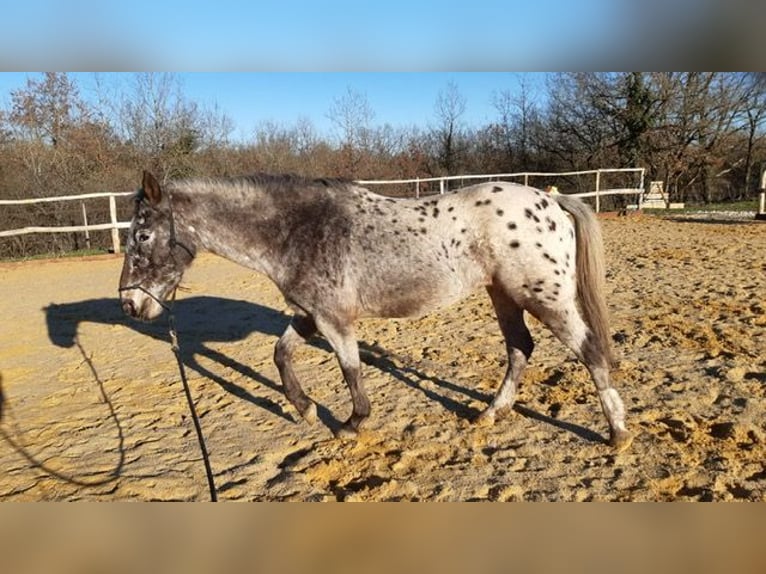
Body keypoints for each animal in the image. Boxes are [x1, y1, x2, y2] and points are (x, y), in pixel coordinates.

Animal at [120, 172, 632, 454]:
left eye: (141, 236)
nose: (130, 303)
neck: (298, 230)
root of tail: (551, 202)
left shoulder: (334, 320)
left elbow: (351, 370)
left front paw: (351, 423)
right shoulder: (309, 314)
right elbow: (280, 355)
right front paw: (305, 409)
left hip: (545, 297)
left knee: (589, 351)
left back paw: (618, 432)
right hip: (504, 296)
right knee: (520, 349)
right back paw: (489, 415)